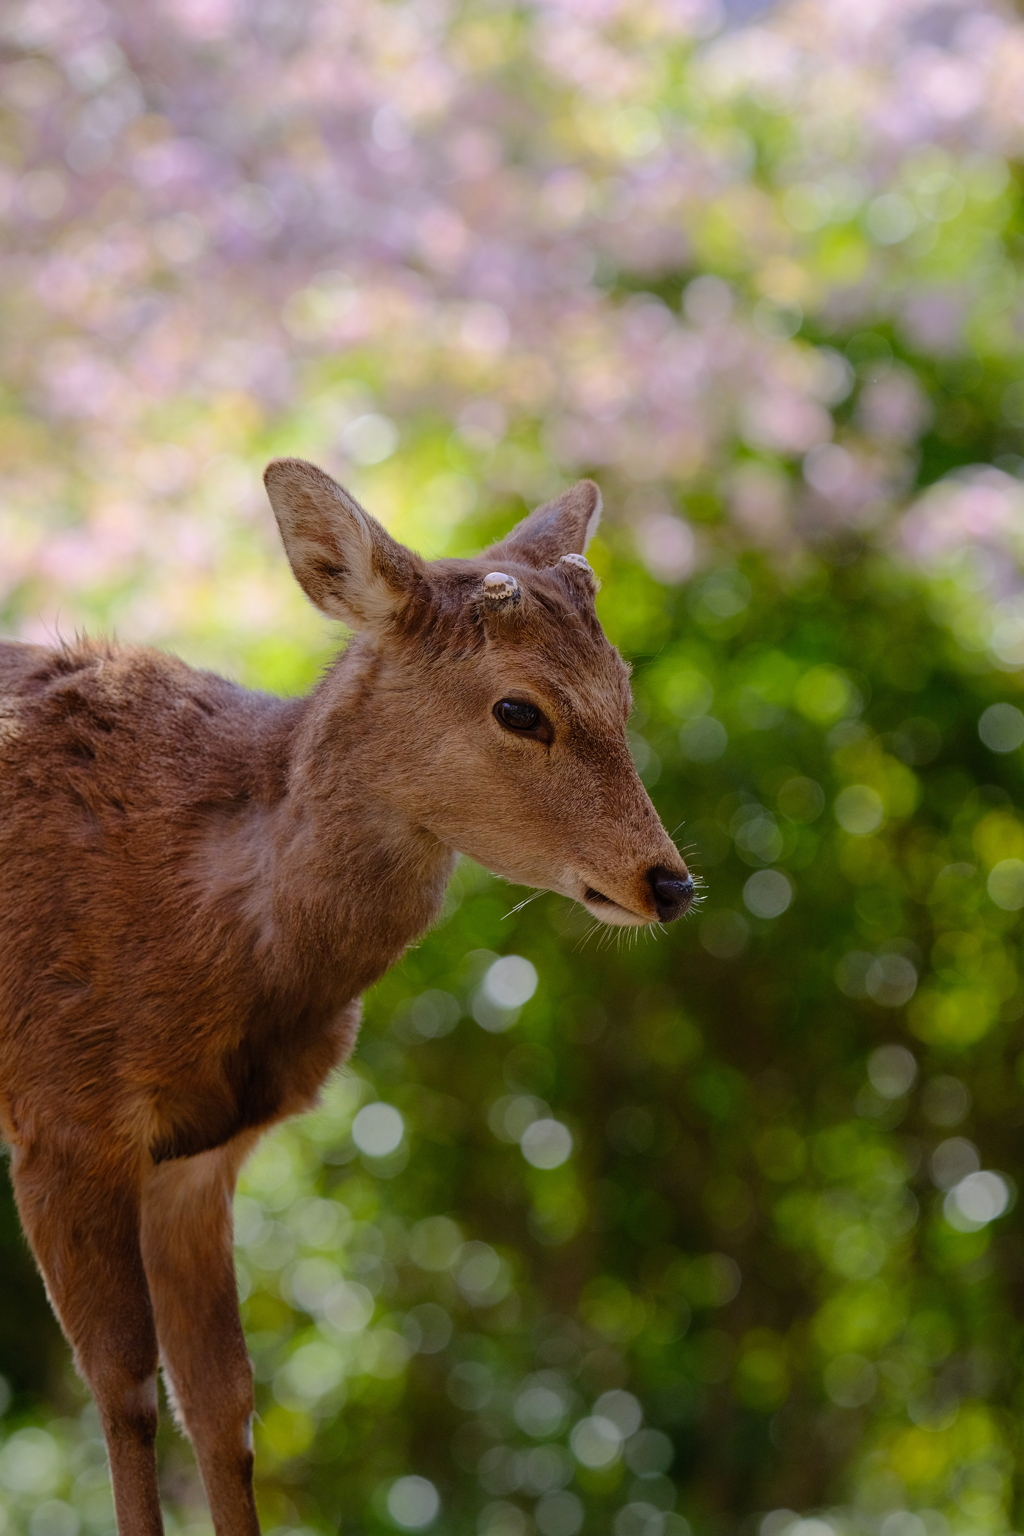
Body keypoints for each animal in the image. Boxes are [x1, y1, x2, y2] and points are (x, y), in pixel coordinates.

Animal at [0, 454, 696, 1536]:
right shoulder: (60, 1116)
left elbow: (225, 1404)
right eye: (519, 709)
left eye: (624, 690)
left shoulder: (202, 1156)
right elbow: (122, 1389)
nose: (668, 883)